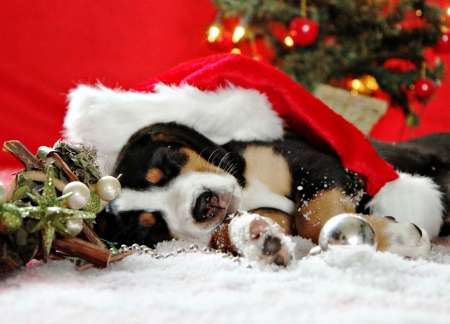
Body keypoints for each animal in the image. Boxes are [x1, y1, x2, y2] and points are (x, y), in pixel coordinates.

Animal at [95, 123, 450, 264]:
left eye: (166, 164)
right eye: (154, 227)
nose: (205, 205)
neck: (247, 188)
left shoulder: (315, 161)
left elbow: (312, 216)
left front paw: (395, 238)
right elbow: (229, 230)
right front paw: (259, 239)